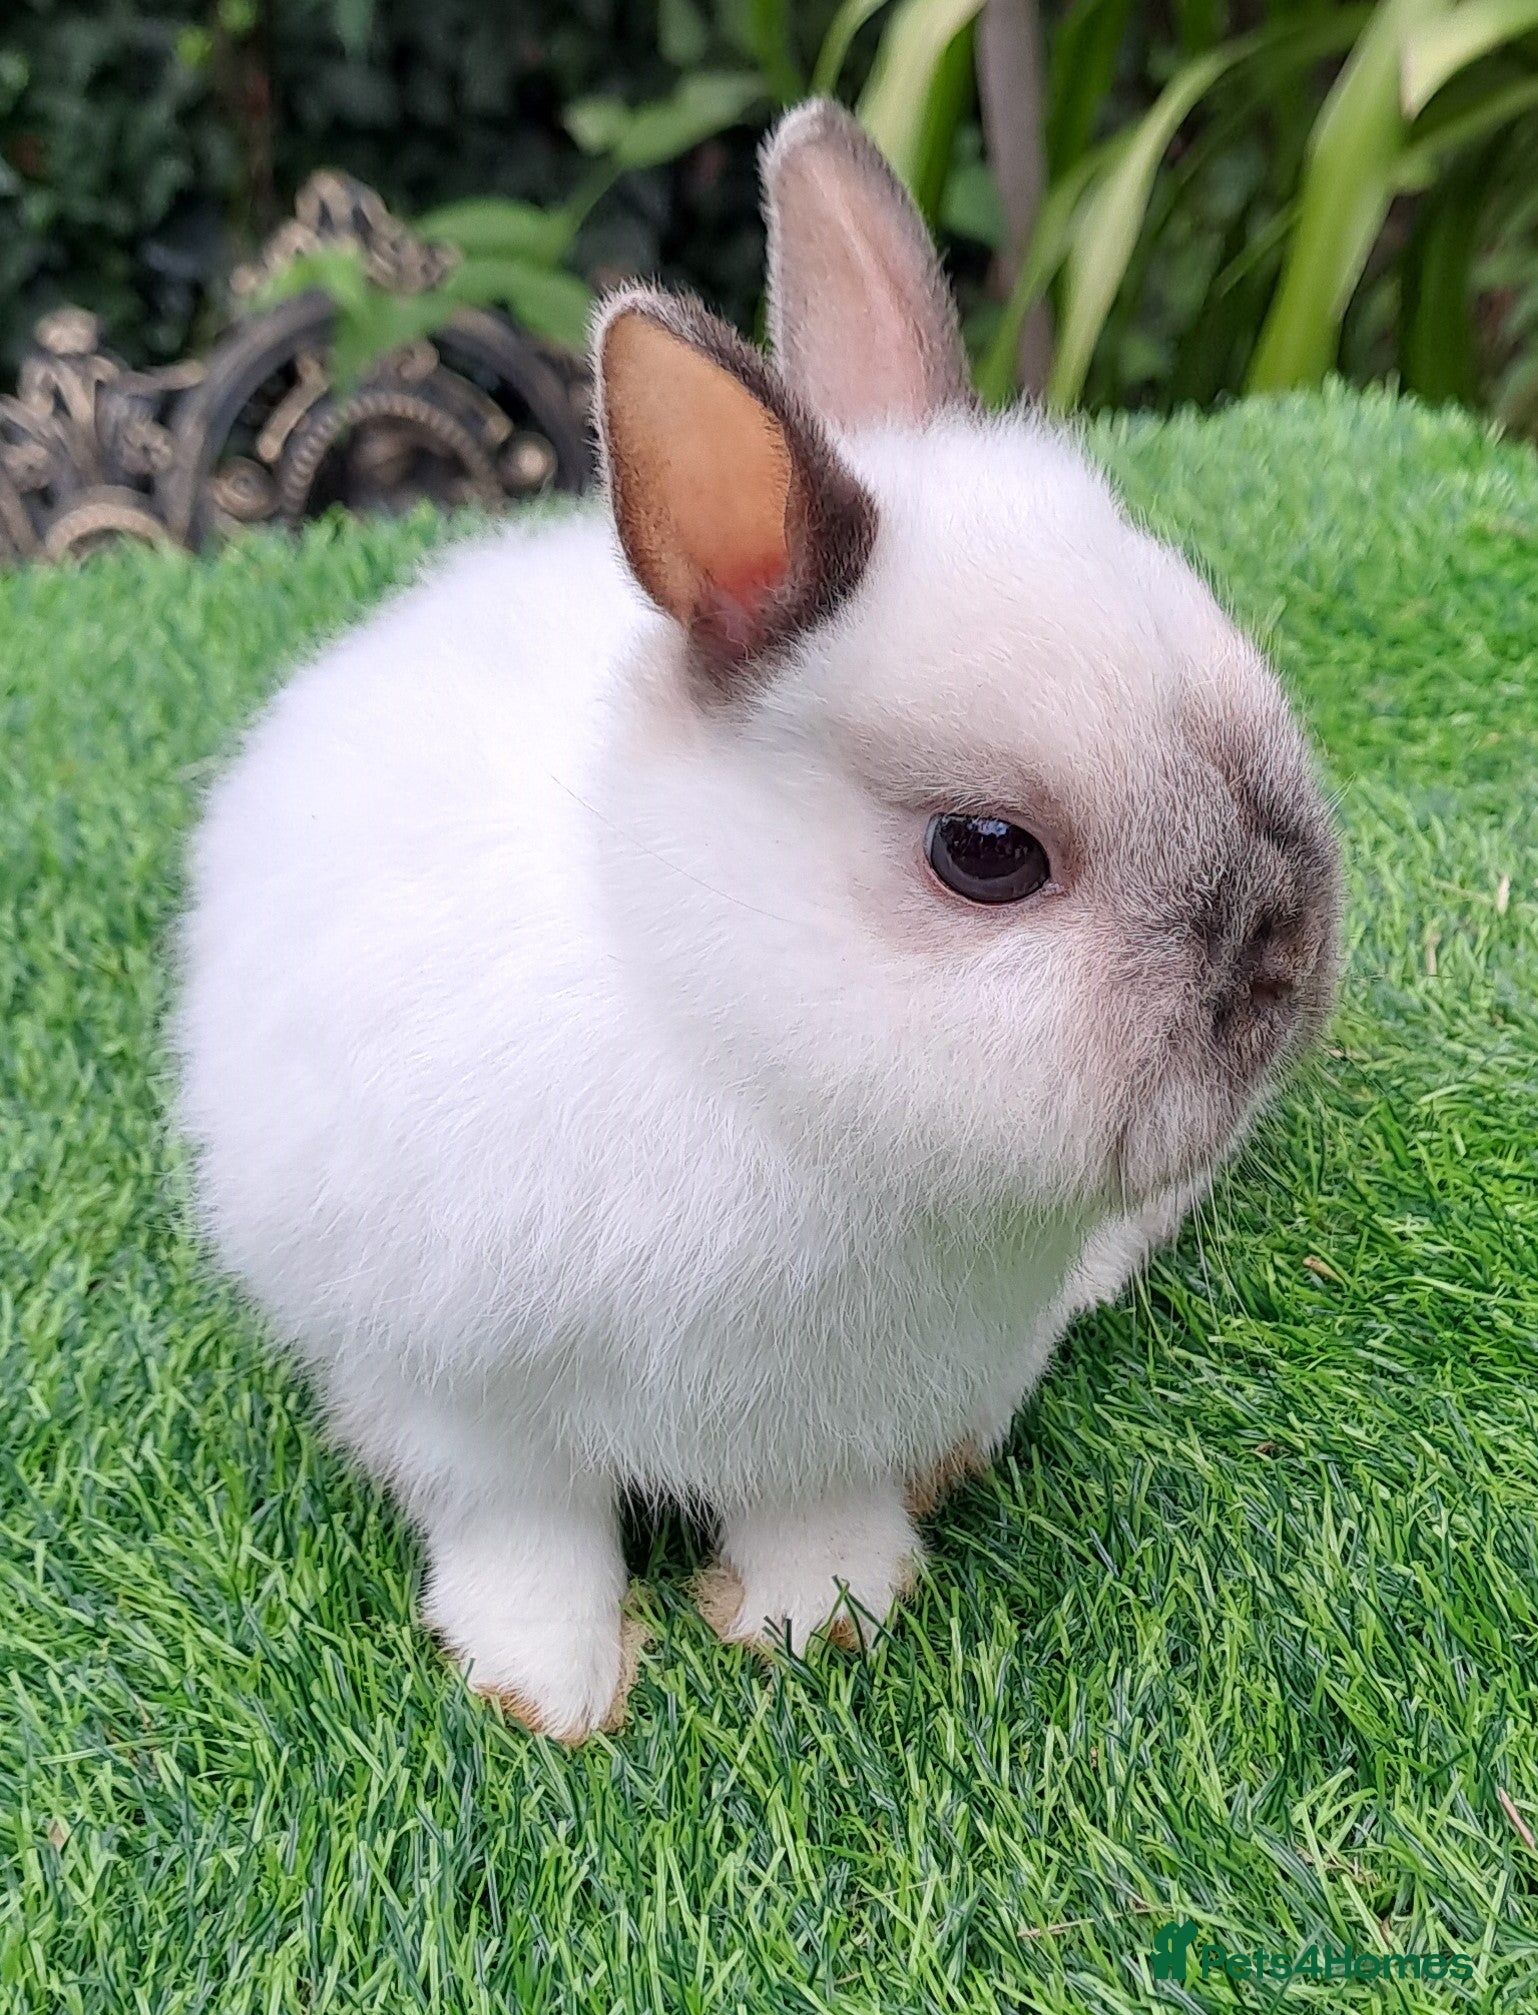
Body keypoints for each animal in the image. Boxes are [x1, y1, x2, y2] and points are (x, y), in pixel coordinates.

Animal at [175, 100, 1341, 1743]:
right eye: (985, 853)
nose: (1282, 967)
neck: (738, 1046)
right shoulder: (460, 1400)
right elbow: (526, 1531)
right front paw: (545, 1687)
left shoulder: (834, 1415)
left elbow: (812, 1509)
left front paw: (813, 1619)